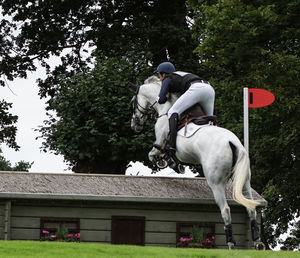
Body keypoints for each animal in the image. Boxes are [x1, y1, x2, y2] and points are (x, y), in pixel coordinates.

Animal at [131, 75, 264, 249]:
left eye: (133, 102)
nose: (134, 125)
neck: (165, 107)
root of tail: (233, 143)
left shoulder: (160, 142)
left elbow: (154, 154)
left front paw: (168, 162)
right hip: (245, 180)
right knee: (251, 208)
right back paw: (257, 242)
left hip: (215, 183)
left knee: (226, 210)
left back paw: (230, 243)